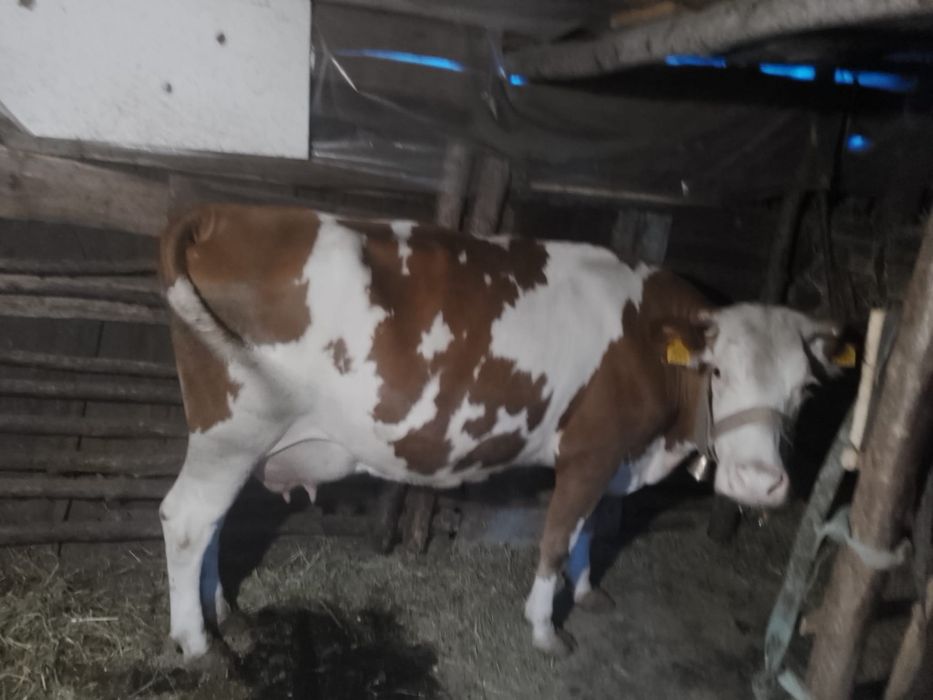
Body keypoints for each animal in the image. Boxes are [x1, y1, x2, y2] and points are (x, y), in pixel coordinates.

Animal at [157, 203, 845, 661]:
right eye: (719, 371)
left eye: (805, 390)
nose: (759, 485)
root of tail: (223, 215)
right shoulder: (592, 446)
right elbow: (559, 535)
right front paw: (545, 627)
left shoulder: (615, 454)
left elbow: (591, 526)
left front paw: (588, 591)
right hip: (235, 428)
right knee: (187, 519)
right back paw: (197, 643)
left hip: (236, 441)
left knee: (213, 522)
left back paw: (224, 615)